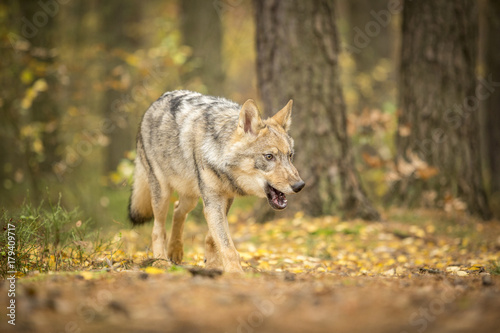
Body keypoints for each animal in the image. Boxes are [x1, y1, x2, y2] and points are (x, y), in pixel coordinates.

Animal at [128, 89, 304, 272]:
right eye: (269, 157)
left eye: (290, 156)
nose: (300, 185)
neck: (218, 154)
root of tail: (155, 102)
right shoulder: (213, 202)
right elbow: (226, 246)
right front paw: (235, 273)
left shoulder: (226, 198)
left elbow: (213, 238)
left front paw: (212, 265)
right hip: (162, 194)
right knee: (158, 229)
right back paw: (161, 261)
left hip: (190, 198)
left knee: (177, 210)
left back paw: (175, 251)